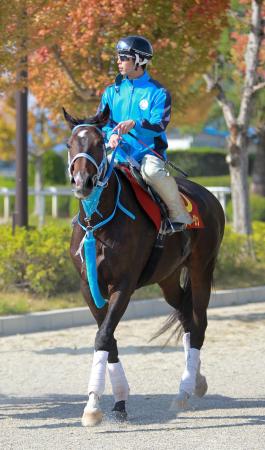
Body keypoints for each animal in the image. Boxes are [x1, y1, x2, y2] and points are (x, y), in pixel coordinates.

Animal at [63, 105, 224, 426]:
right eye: (70, 144)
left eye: (100, 143)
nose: (82, 182)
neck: (99, 223)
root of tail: (210, 197)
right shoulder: (88, 286)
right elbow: (108, 338)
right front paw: (116, 402)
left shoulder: (123, 285)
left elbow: (104, 335)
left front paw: (93, 406)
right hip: (169, 277)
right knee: (186, 317)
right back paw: (196, 380)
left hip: (201, 269)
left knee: (199, 323)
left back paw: (184, 390)